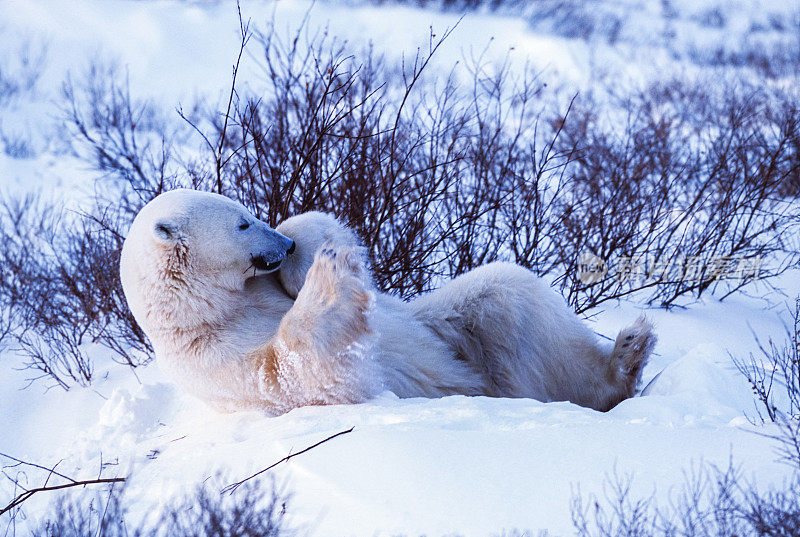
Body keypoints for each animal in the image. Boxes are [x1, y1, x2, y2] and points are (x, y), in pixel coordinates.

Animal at [119, 188, 656, 414]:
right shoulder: (216, 364)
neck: (210, 311)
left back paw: (627, 354)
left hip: (456, 331)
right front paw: (327, 284)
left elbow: (323, 226)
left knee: (507, 295)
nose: (281, 247)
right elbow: (297, 370)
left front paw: (316, 257)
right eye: (242, 222)